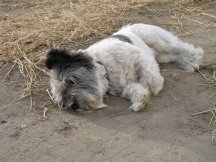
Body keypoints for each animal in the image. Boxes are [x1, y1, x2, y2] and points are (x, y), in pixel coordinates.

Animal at [44, 23, 203, 111]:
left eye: (71, 81)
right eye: (61, 99)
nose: (72, 106)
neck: (105, 66)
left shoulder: (141, 58)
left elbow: (150, 78)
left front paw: (154, 86)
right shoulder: (123, 87)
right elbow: (135, 89)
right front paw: (140, 100)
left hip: (158, 40)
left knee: (181, 47)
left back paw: (195, 56)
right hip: (164, 56)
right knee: (176, 56)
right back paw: (189, 63)